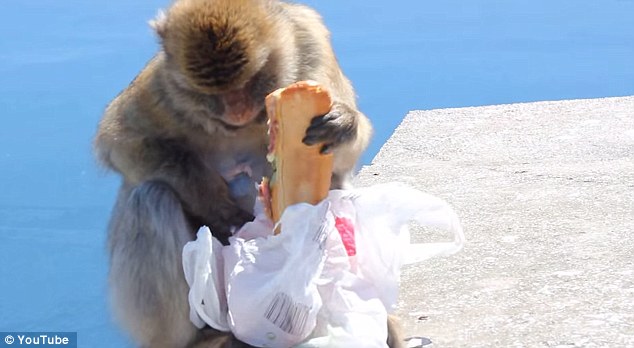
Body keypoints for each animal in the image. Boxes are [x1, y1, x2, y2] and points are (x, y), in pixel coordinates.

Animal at [95, 0, 400, 346]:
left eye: (250, 80)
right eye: (213, 93)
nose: (237, 111)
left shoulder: (313, 44)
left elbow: (346, 155)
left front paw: (343, 123)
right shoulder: (162, 89)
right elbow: (120, 141)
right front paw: (215, 203)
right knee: (150, 197)